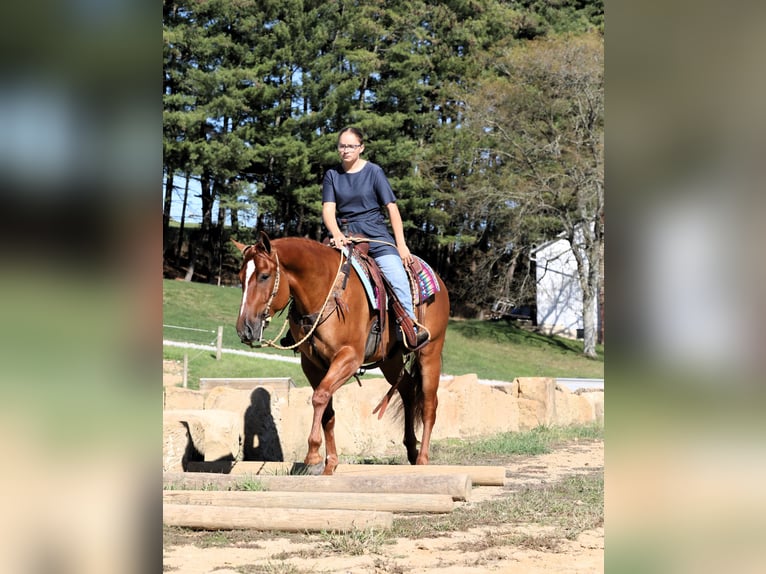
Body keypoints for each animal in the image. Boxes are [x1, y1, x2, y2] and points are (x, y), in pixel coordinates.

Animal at [234, 234, 450, 476]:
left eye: (264, 276)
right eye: (241, 278)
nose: (245, 329)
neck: (324, 292)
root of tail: (438, 280)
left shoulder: (349, 357)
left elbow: (320, 397)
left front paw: (313, 456)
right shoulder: (312, 364)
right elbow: (326, 408)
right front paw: (329, 464)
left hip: (430, 353)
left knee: (429, 404)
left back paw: (422, 460)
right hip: (390, 360)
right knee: (408, 390)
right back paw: (412, 451)